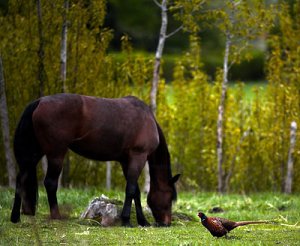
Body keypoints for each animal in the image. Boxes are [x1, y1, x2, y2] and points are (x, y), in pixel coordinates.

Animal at [10, 93, 179, 227]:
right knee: (50, 183)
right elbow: (131, 190)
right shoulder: (138, 157)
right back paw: (56, 216)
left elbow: (135, 191)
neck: (147, 119)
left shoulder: (126, 160)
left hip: (36, 153)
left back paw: (15, 217)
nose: (166, 223)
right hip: (56, 154)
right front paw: (126, 220)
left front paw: (142, 221)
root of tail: (39, 101)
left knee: (21, 179)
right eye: (170, 196)